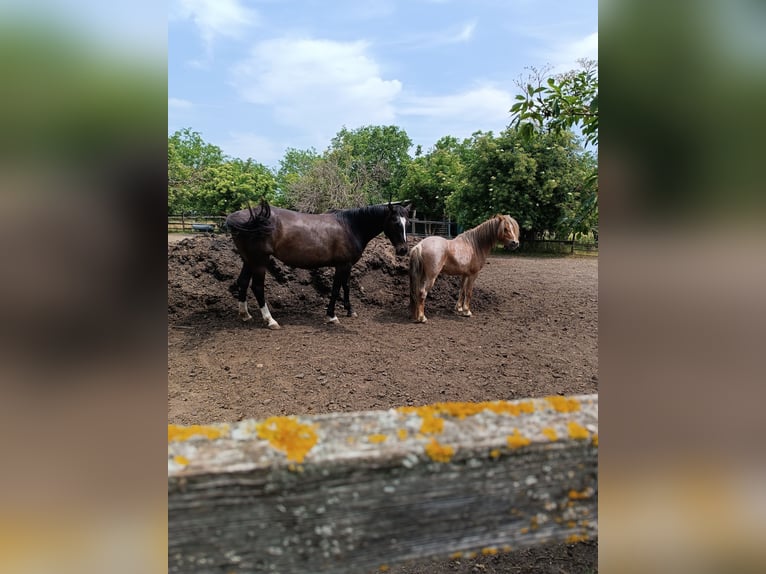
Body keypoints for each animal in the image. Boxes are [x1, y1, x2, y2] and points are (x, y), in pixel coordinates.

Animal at [226, 200, 410, 329]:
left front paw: (350, 311)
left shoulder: (347, 265)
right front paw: (332, 316)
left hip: (249, 260)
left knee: (243, 282)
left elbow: (346, 286)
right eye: (395, 222)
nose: (403, 250)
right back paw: (270, 320)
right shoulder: (342, 265)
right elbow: (336, 289)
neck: (350, 226)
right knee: (257, 287)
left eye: (407, 223)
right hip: (259, 260)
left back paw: (245, 314)